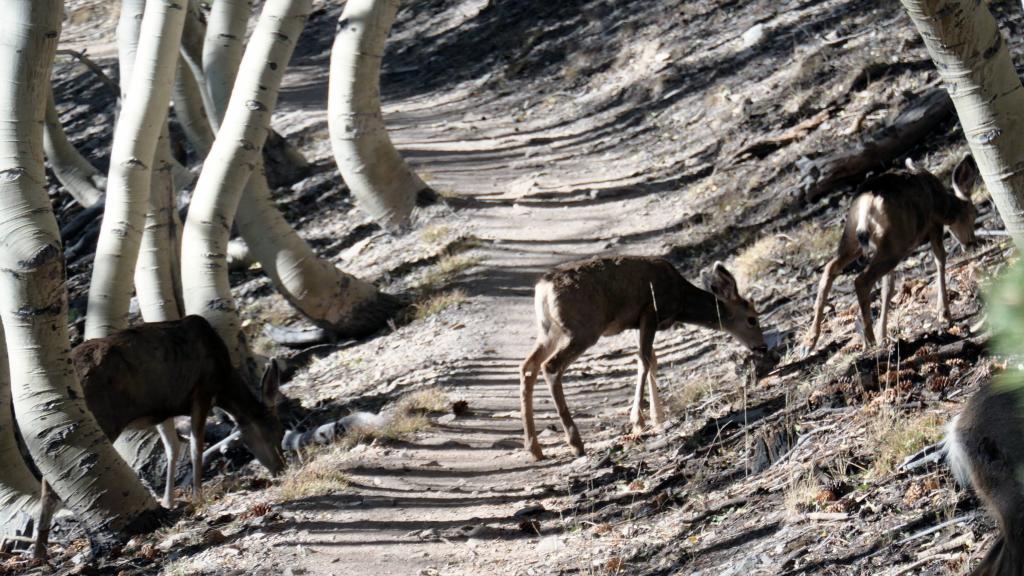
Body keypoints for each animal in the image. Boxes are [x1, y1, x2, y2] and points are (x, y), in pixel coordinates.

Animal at [33, 313, 284, 557]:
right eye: (277, 432)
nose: (281, 468)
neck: (224, 383)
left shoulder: (163, 410)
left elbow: (172, 447)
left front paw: (168, 501)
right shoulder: (202, 390)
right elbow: (196, 445)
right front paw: (198, 497)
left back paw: (40, 551)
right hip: (104, 417)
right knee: (50, 483)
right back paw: (42, 551)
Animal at [520, 255, 770, 457]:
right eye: (752, 319)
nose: (762, 347)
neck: (681, 299)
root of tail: (543, 289)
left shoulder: (638, 322)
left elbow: (652, 361)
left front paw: (657, 417)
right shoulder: (651, 311)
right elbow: (644, 360)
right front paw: (638, 421)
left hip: (550, 331)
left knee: (528, 366)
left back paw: (534, 448)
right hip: (582, 329)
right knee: (550, 366)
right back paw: (575, 443)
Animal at [806, 153, 974, 350]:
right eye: (972, 214)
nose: (971, 242)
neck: (945, 206)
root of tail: (867, 203)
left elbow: (888, 288)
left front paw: (883, 335)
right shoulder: (934, 225)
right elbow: (940, 259)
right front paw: (944, 314)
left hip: (857, 238)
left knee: (830, 267)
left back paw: (810, 340)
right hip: (894, 245)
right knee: (861, 280)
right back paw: (869, 340)